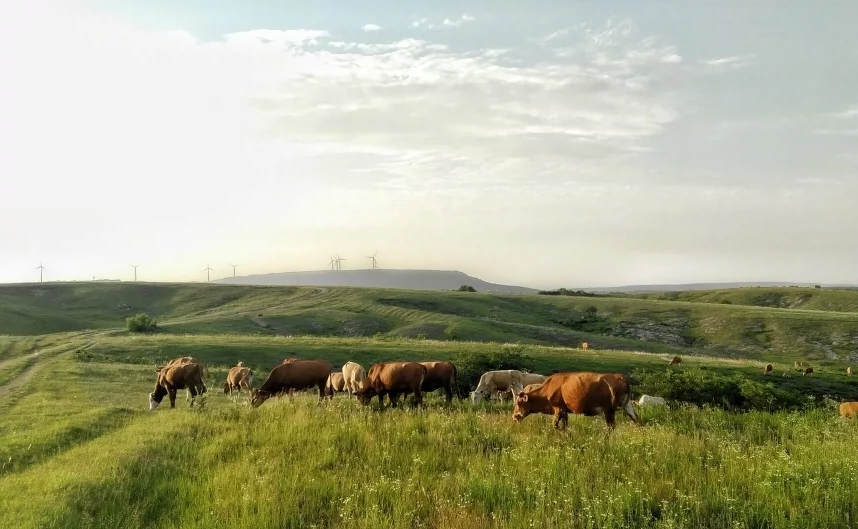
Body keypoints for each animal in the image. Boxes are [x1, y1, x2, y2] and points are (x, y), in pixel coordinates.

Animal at [508, 372, 640, 428]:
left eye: (519, 403)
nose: (514, 416)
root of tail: (620, 377)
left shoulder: (559, 410)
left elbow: (556, 425)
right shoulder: (565, 412)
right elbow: (565, 426)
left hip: (609, 409)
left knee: (611, 427)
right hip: (627, 405)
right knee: (637, 419)